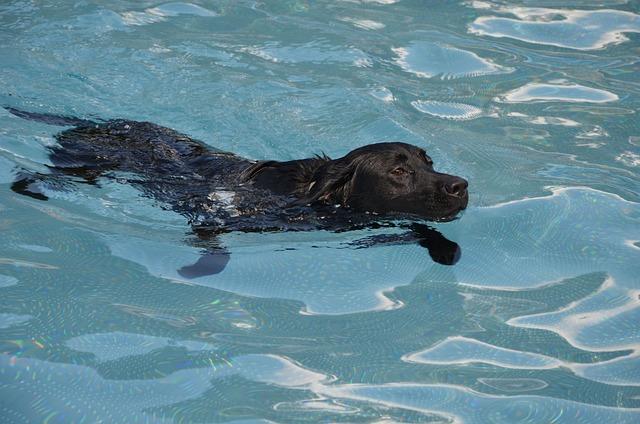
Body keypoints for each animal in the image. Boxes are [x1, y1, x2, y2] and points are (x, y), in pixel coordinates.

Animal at [6, 107, 470, 276]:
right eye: (398, 170)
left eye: (428, 163)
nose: (462, 185)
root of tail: (94, 121)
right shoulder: (215, 214)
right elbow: (215, 248)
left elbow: (420, 228)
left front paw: (446, 248)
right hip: (82, 168)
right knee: (44, 175)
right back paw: (25, 187)